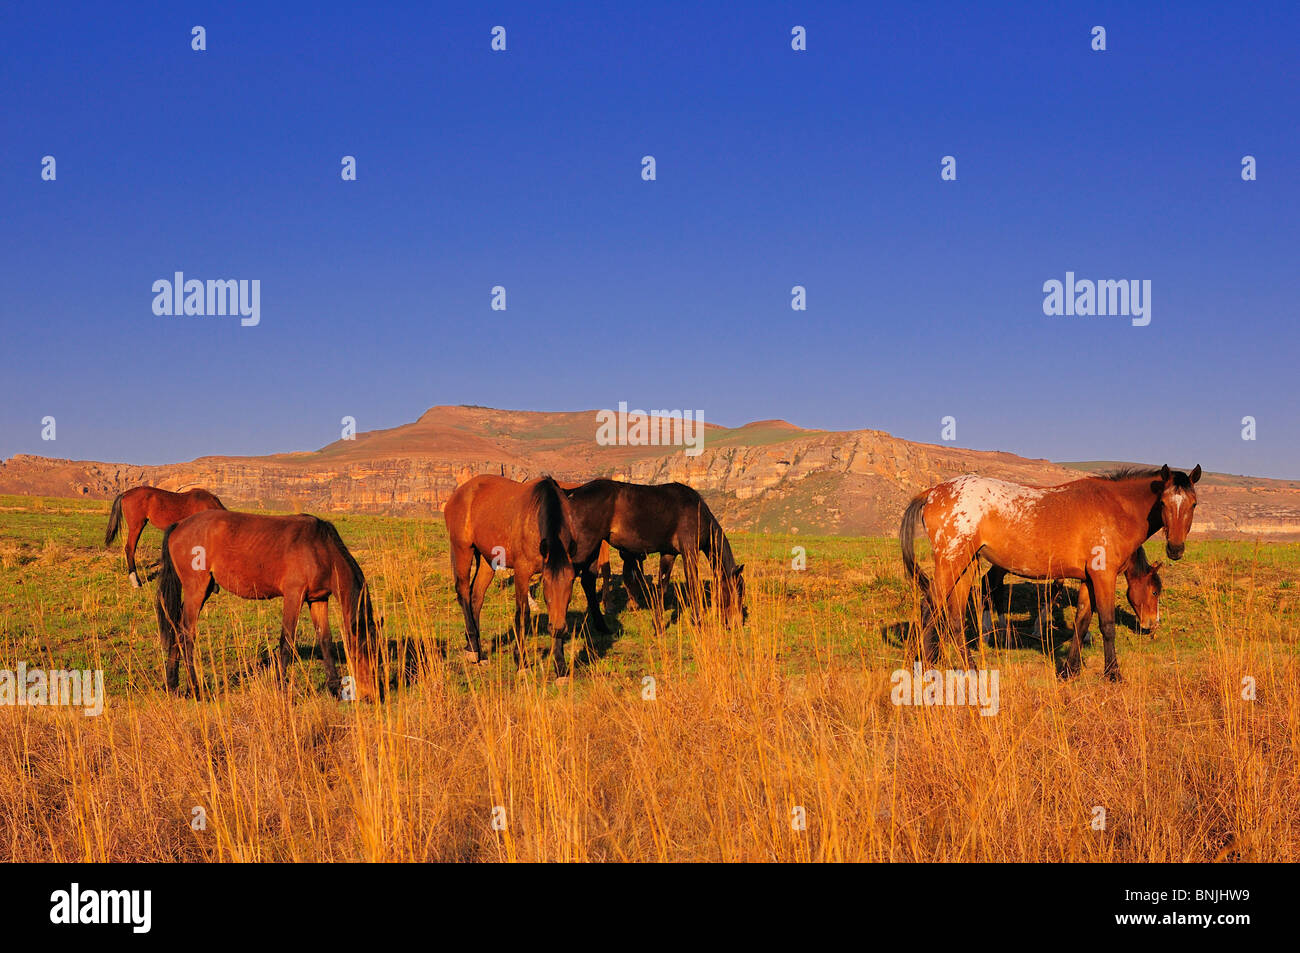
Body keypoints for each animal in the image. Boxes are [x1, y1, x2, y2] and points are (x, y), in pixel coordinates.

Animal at [155, 510, 381, 700]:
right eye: (361, 653)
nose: (371, 696)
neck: (320, 548)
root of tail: (180, 525)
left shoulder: (318, 599)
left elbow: (325, 639)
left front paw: (334, 688)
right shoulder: (294, 596)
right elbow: (287, 641)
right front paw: (281, 688)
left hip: (203, 590)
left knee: (176, 629)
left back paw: (173, 685)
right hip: (196, 590)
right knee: (187, 635)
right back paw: (194, 689)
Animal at [444, 475, 586, 678]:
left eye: (571, 582)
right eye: (546, 583)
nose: (558, 628)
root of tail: (457, 494)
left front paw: (561, 667)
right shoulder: (522, 573)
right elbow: (522, 614)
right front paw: (522, 662)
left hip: (487, 560)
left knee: (476, 598)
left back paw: (479, 652)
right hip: (462, 549)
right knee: (463, 593)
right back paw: (472, 650)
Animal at [561, 479, 746, 630]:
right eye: (738, 592)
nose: (736, 624)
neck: (697, 511)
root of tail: (572, 493)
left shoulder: (669, 554)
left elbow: (662, 587)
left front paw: (658, 625)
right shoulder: (690, 551)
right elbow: (693, 585)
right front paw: (698, 622)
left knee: (587, 581)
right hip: (585, 547)